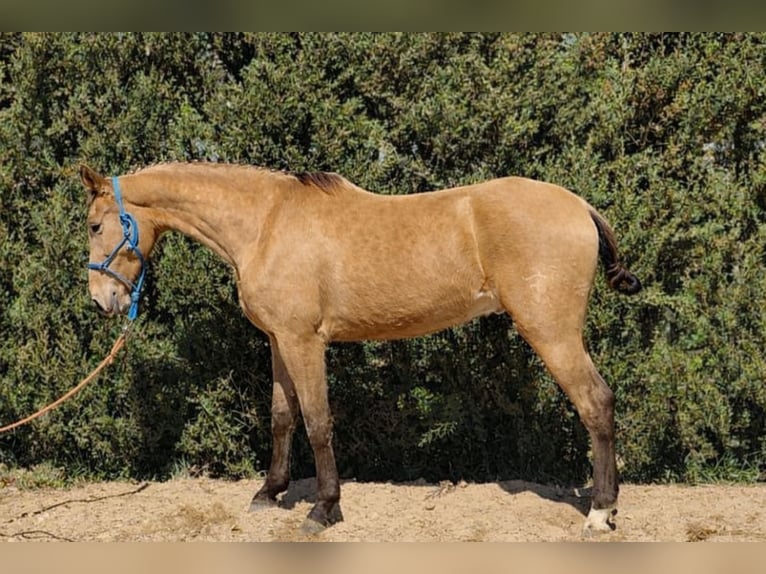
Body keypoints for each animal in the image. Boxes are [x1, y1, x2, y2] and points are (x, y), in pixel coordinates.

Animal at [80, 161, 641, 537]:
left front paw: (324, 509)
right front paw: (269, 492)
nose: (102, 301)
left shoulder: (304, 342)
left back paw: (600, 511)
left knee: (596, 404)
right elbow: (282, 418)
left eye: (93, 225)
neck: (264, 224)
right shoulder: (279, 342)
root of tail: (579, 206)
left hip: (552, 333)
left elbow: (317, 422)